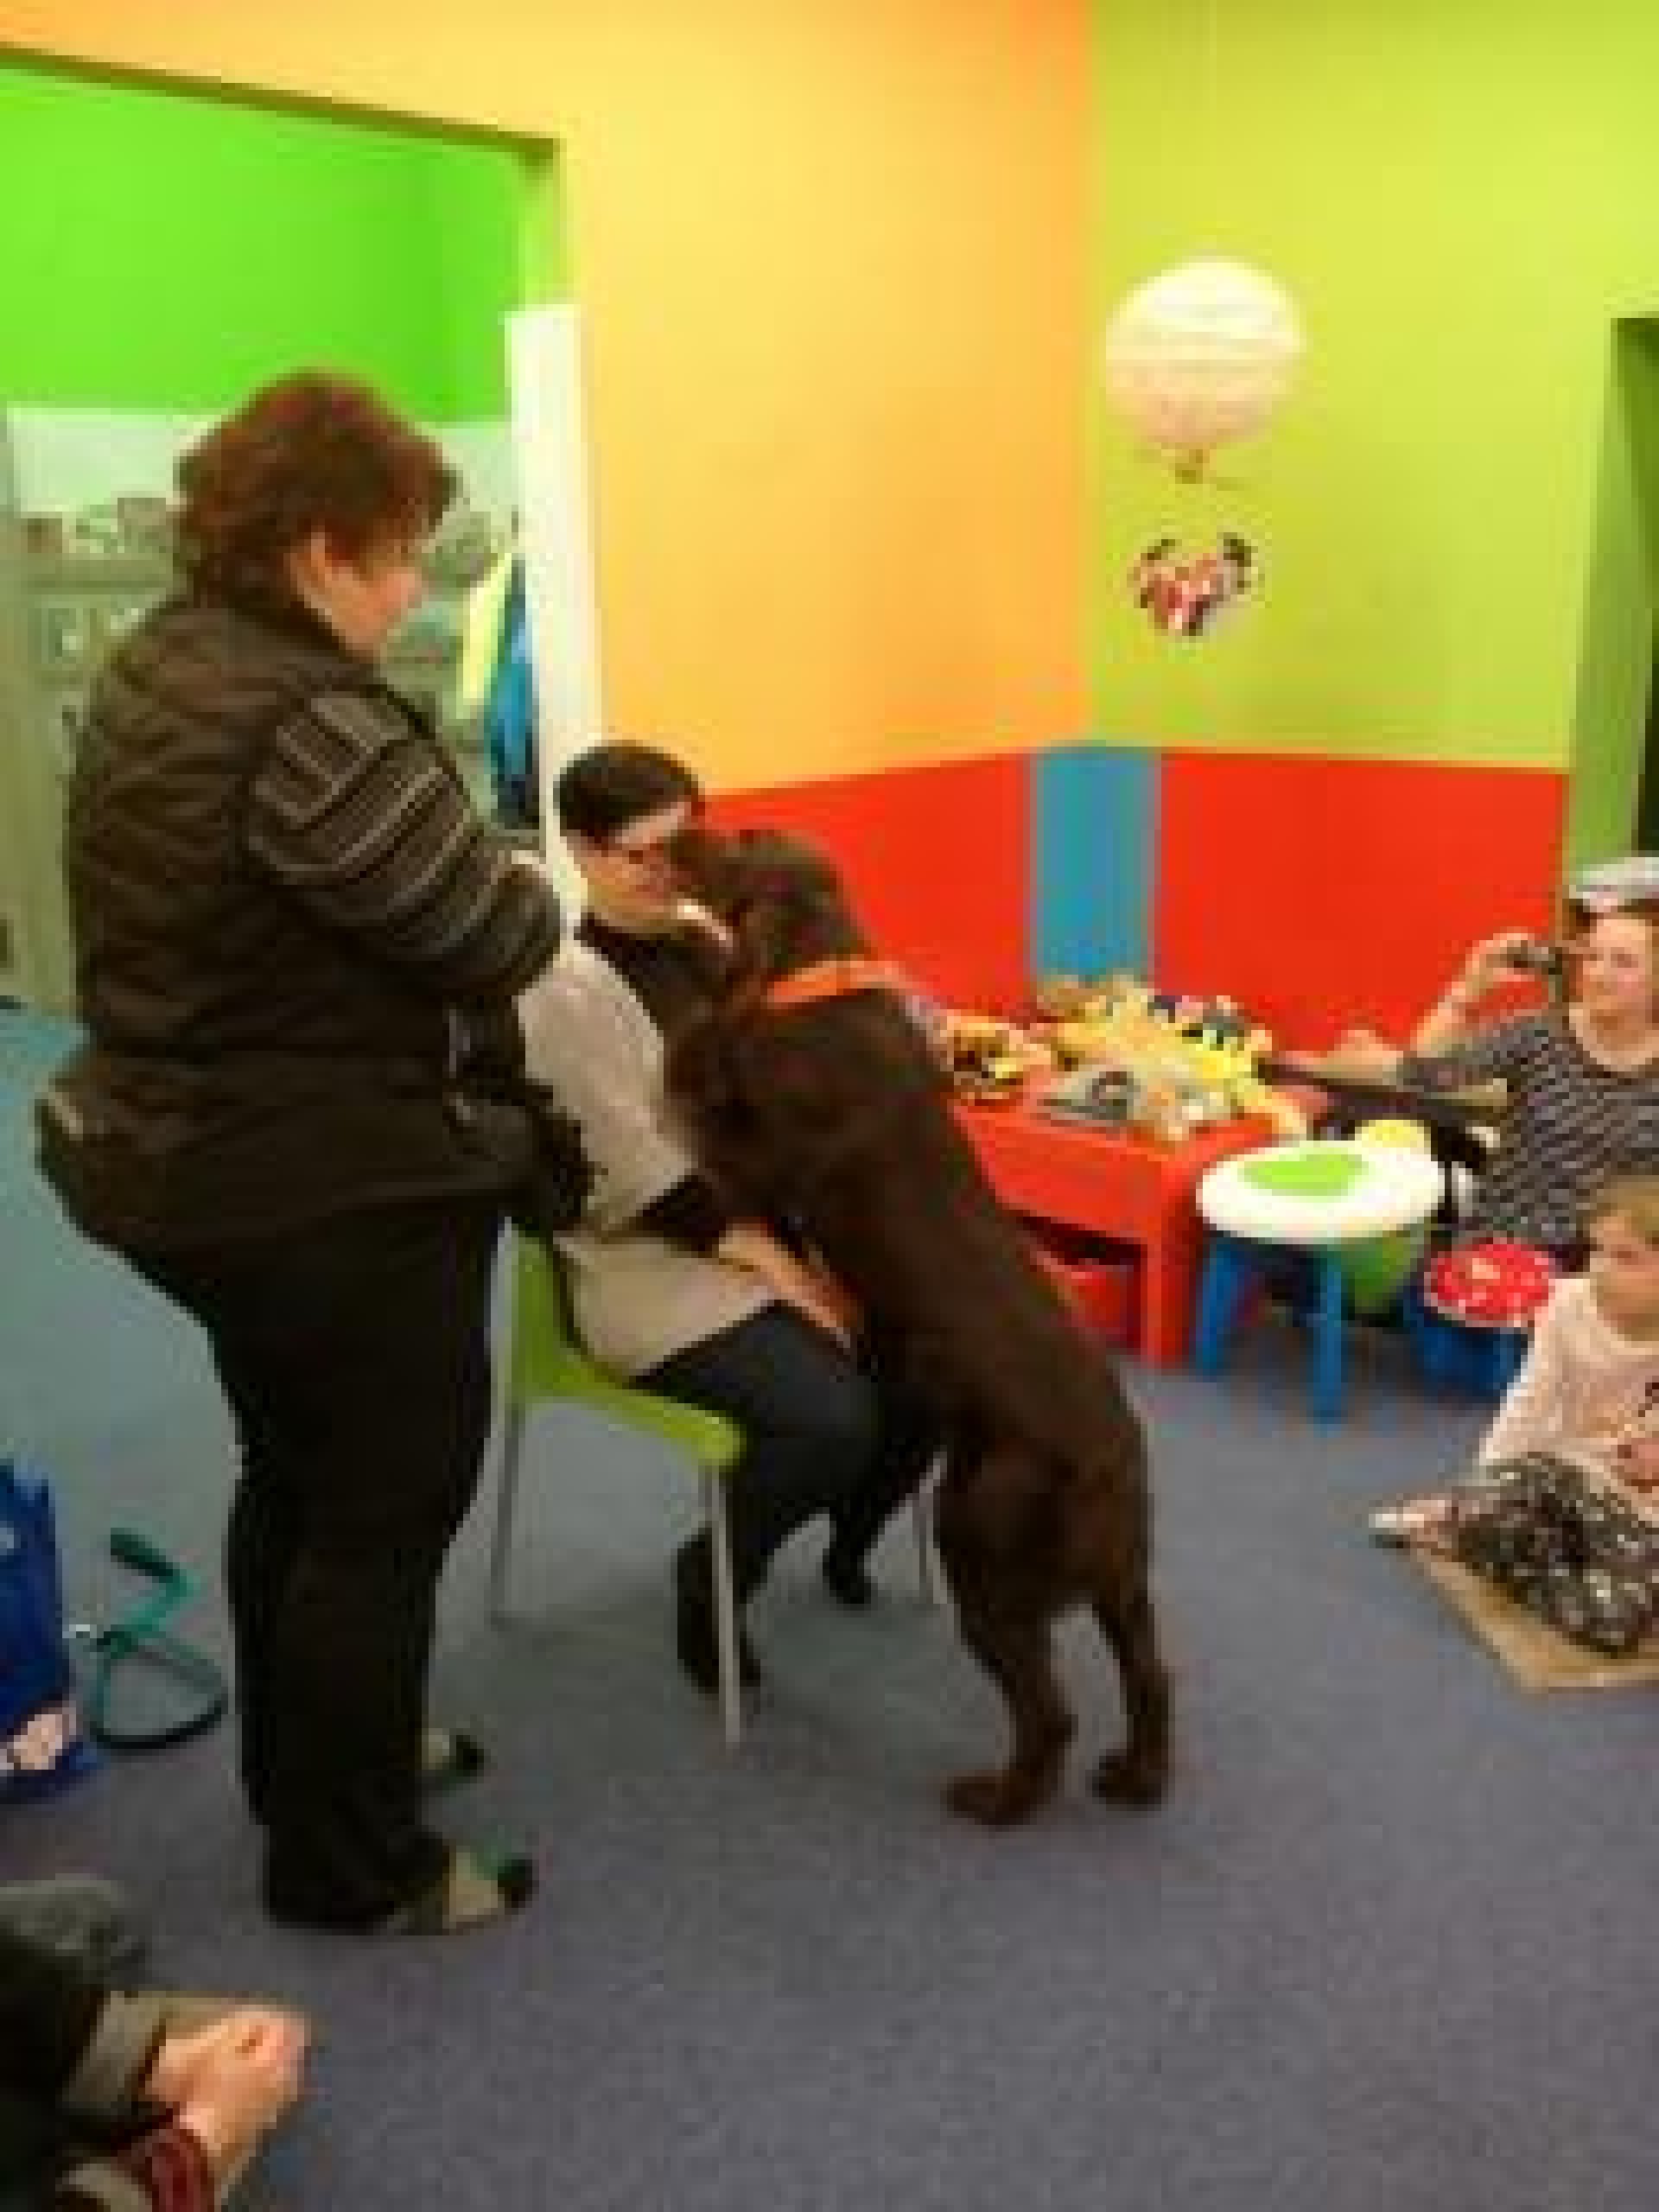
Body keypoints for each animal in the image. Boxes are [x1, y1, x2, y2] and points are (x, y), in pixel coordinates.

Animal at [666, 829, 1169, 1825]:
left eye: (738, 840)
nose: (675, 832)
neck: (821, 973)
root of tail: (1110, 1463)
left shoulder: (754, 1156)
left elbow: (702, 1050)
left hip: (977, 1539)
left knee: (1048, 1712)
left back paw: (998, 1800)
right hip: (1119, 1581)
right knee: (1151, 1676)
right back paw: (1139, 1778)